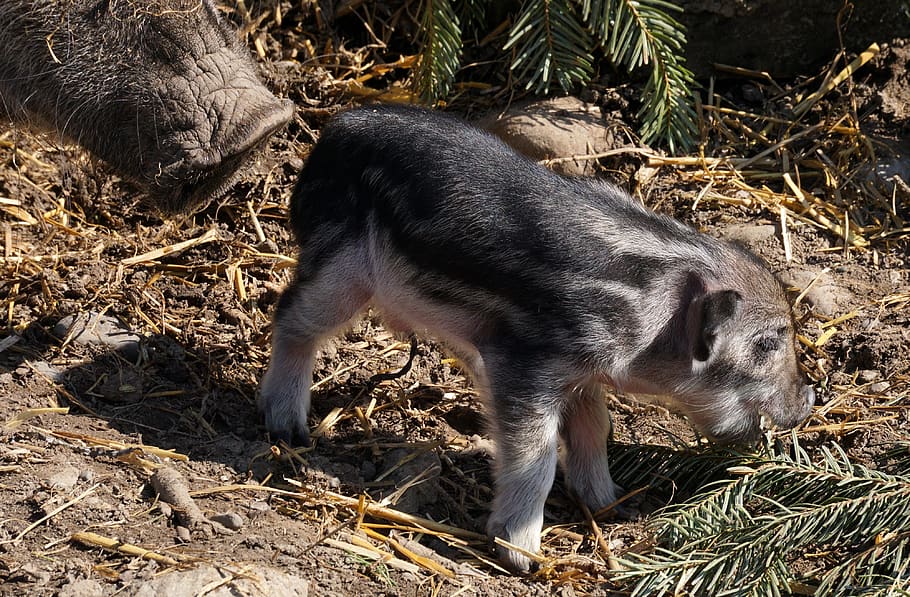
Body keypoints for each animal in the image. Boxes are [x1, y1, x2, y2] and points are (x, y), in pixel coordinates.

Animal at [260, 105, 816, 573]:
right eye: (767, 344)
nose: (810, 396)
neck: (647, 314)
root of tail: (334, 132)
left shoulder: (581, 375)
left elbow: (594, 429)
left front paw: (610, 503)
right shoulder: (527, 365)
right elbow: (537, 458)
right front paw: (522, 559)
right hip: (340, 269)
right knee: (289, 318)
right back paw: (288, 429)